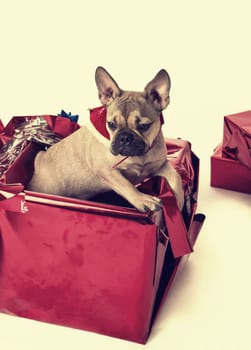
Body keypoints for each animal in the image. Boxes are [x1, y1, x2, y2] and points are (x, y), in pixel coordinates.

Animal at [28, 67, 184, 212]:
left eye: (143, 126)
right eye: (111, 124)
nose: (125, 137)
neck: (139, 157)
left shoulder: (160, 164)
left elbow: (176, 177)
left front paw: (179, 202)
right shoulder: (107, 171)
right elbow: (126, 185)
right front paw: (143, 199)